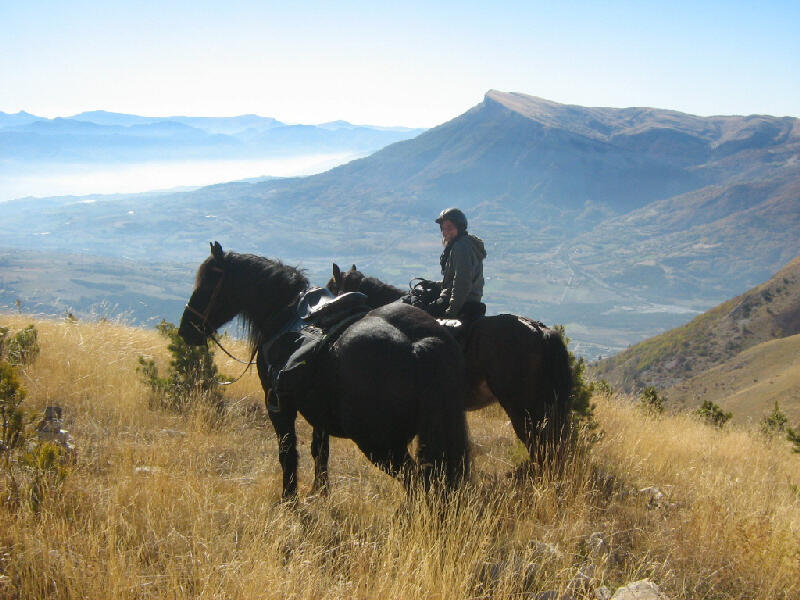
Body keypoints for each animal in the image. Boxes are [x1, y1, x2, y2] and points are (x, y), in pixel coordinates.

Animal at [180, 241, 468, 500]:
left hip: (380, 444)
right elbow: (320, 451)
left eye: (208, 283)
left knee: (417, 481)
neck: (283, 312)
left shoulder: (278, 405)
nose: (186, 329)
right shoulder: (319, 414)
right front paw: (319, 491)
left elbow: (288, 452)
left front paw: (289, 499)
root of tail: (416, 344)